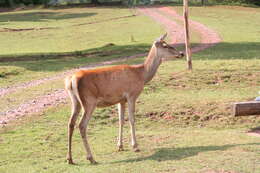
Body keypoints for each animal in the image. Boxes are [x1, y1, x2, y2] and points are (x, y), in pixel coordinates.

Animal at [64, 33, 183, 164]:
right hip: (89, 101)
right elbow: (132, 119)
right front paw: (135, 146)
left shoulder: (120, 100)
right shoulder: (131, 95)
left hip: (75, 101)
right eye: (165, 45)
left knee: (70, 123)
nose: (181, 53)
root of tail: (72, 80)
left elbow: (121, 120)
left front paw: (120, 146)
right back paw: (91, 157)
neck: (141, 75)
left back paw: (69, 158)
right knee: (81, 125)